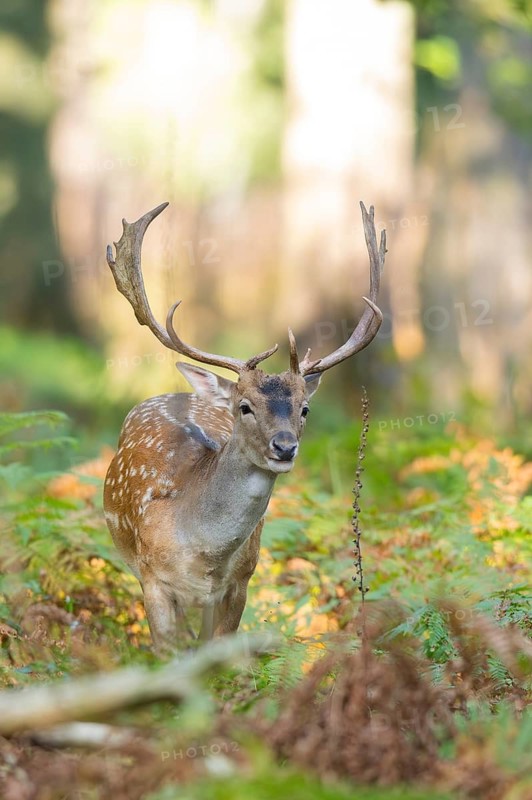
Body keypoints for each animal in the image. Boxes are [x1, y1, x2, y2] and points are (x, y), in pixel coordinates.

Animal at [103, 201, 385, 654]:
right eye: (245, 407)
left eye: (305, 409)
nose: (284, 447)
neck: (204, 557)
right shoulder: (153, 579)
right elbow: (167, 653)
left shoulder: (241, 580)